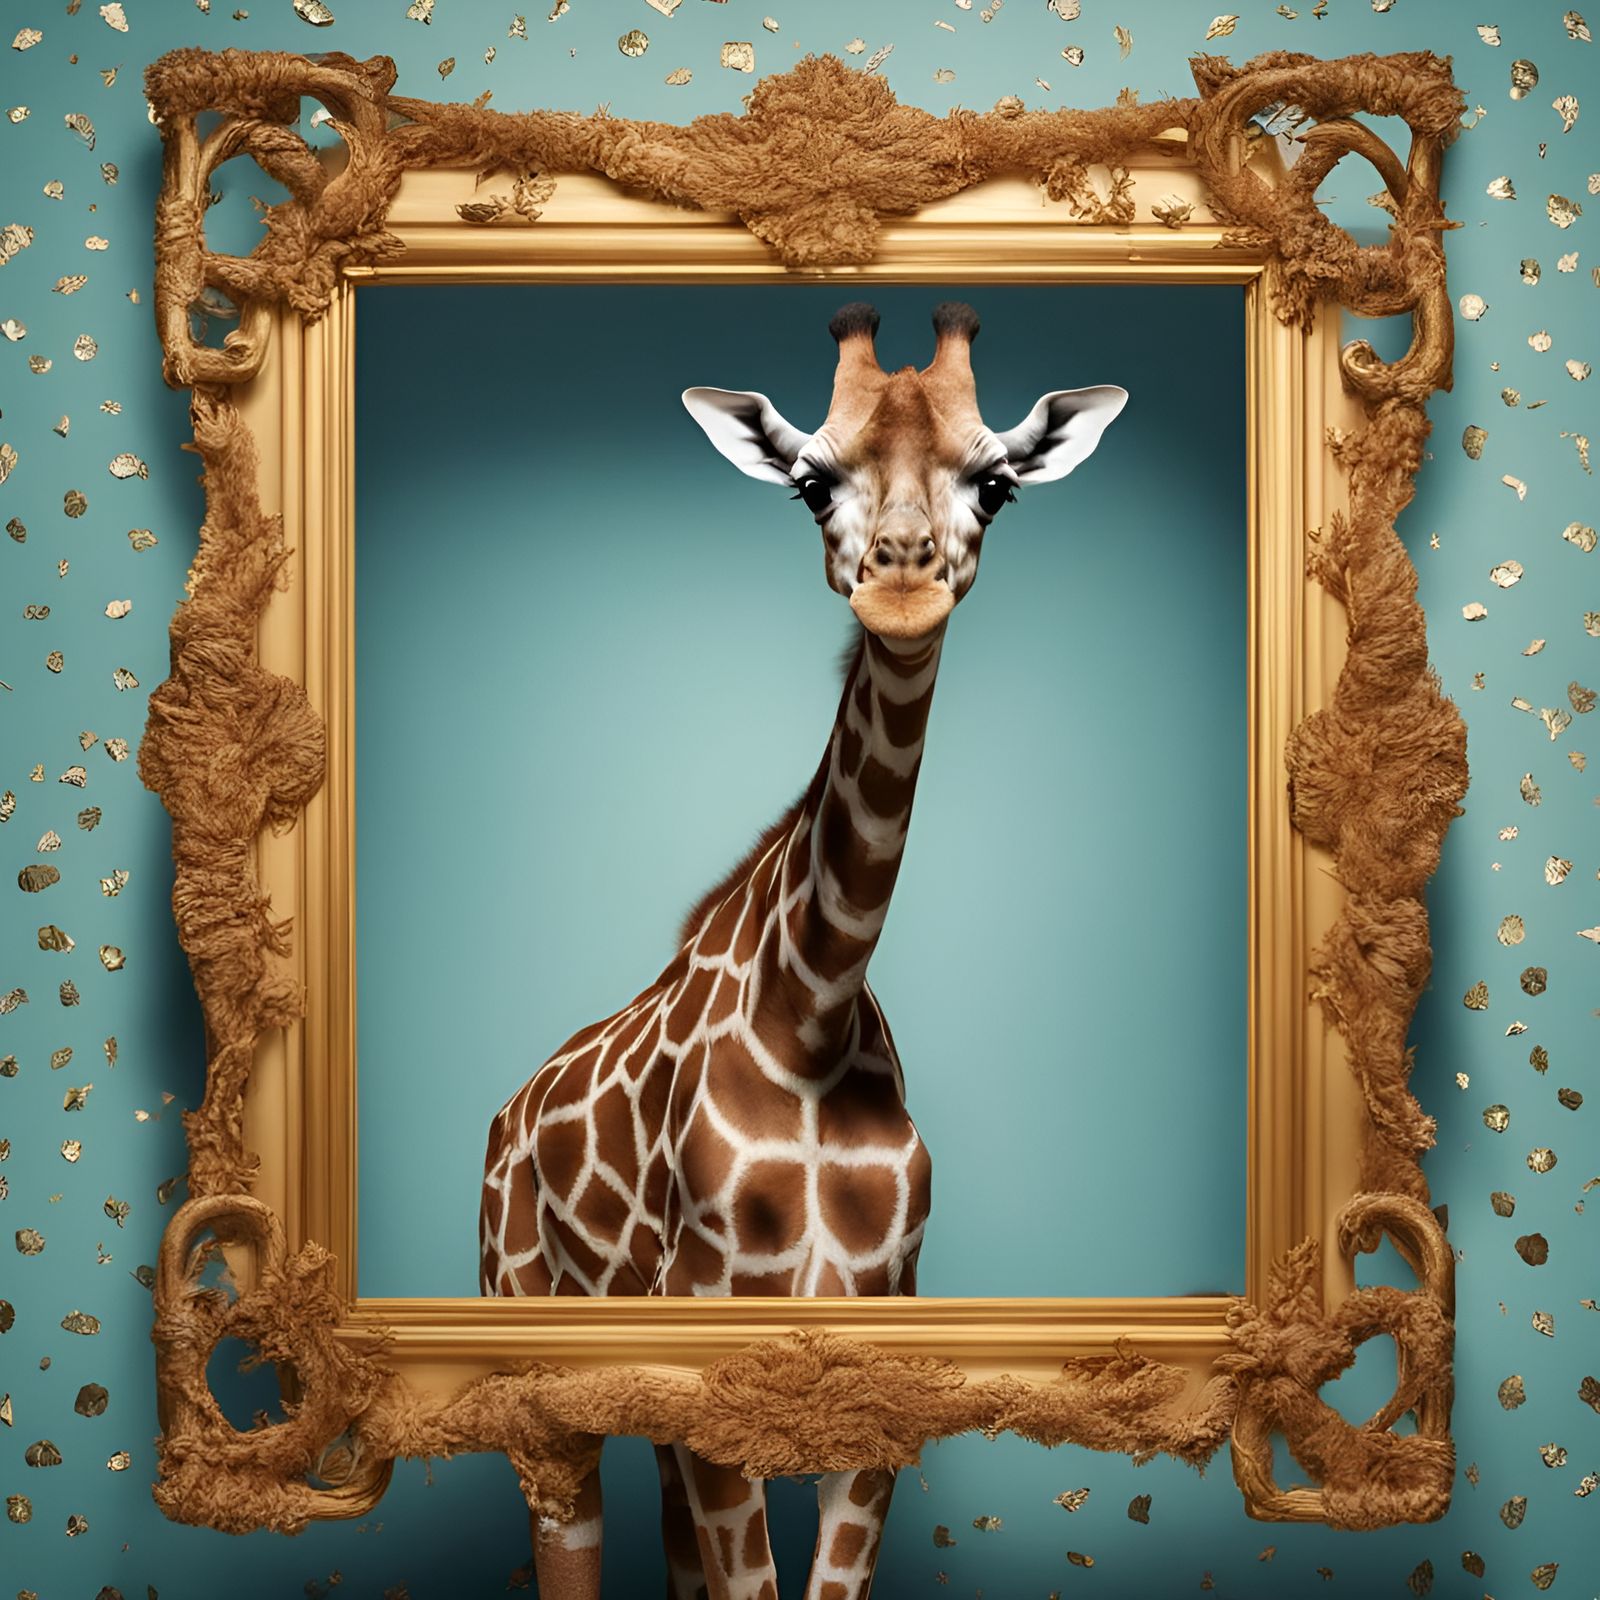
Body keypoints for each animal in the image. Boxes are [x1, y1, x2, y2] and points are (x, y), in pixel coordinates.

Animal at [480, 300, 1127, 1600]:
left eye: (995, 483)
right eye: (811, 480)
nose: (901, 580)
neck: (813, 1010)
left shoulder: (871, 1359)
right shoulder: (712, 1342)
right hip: (535, 1348)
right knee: (567, 1537)